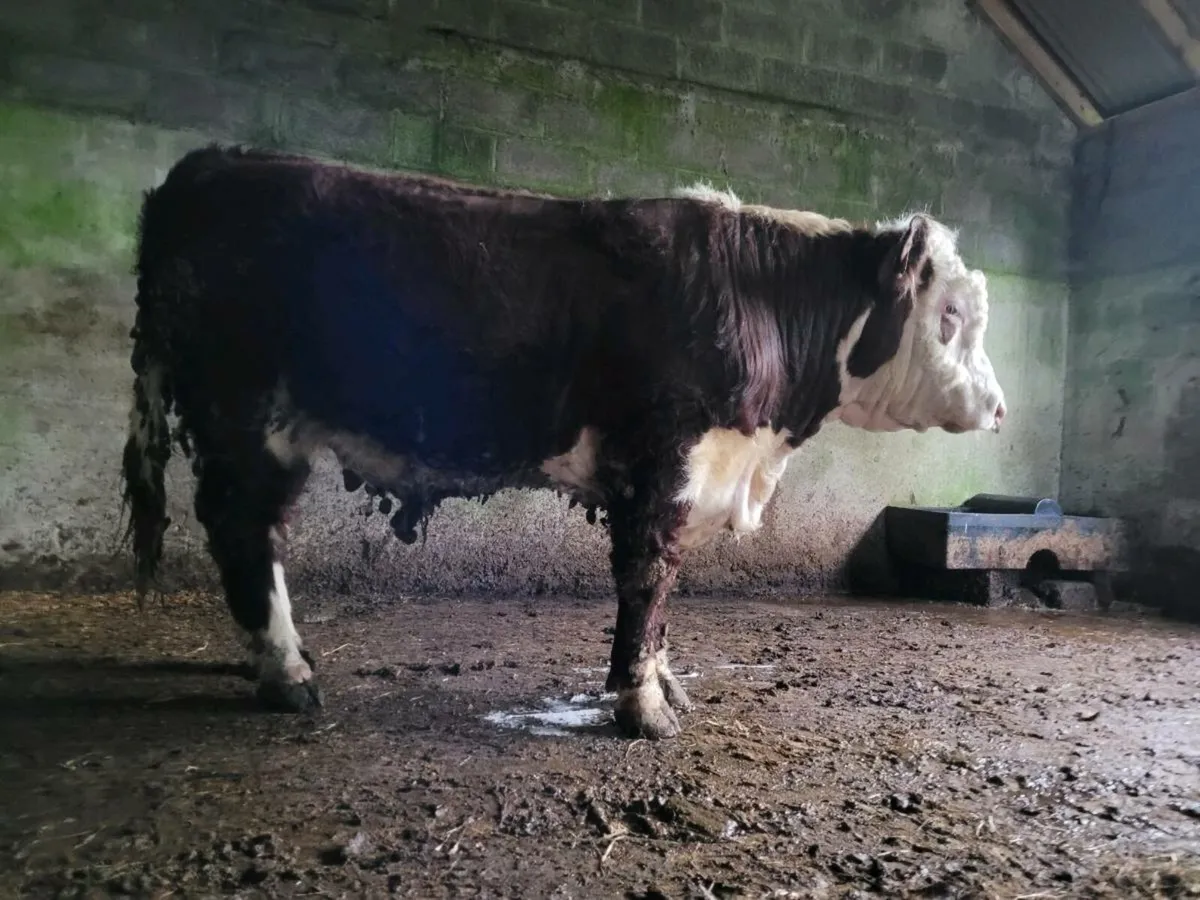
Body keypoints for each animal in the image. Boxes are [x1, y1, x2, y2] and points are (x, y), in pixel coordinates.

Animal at [120, 145, 1006, 740]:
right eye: (950, 314)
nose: (1000, 408)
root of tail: (204, 168)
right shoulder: (663, 459)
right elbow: (647, 579)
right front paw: (642, 706)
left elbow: (665, 591)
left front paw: (665, 684)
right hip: (246, 415)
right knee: (246, 530)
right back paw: (287, 671)